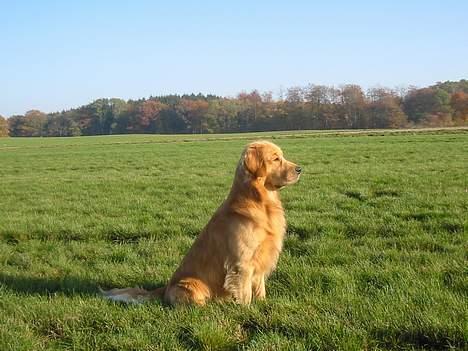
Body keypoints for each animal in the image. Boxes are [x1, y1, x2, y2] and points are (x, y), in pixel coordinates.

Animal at [100, 140, 302, 306]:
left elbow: (259, 289)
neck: (260, 202)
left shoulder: (260, 259)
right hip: (191, 285)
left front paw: (262, 304)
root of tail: (165, 288)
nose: (300, 169)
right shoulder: (242, 263)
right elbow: (245, 294)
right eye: (275, 159)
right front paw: (247, 310)